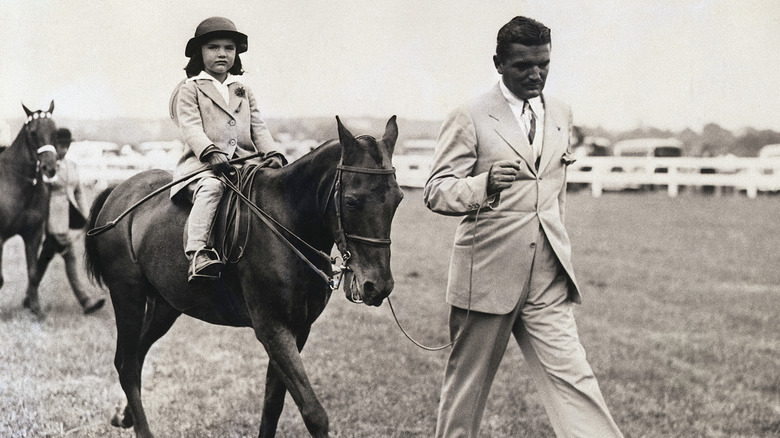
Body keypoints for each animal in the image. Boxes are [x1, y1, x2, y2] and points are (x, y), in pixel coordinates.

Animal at [0, 103, 58, 316]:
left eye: (55, 131)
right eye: (33, 133)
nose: (50, 168)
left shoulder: (34, 233)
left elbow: (34, 273)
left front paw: (35, 308)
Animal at [85, 116, 402, 438]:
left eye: (398, 199)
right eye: (351, 202)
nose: (378, 286)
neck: (287, 222)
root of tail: (118, 189)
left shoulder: (298, 329)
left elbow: (273, 403)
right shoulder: (272, 329)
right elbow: (314, 413)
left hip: (166, 306)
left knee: (136, 356)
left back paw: (124, 415)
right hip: (128, 296)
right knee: (126, 365)